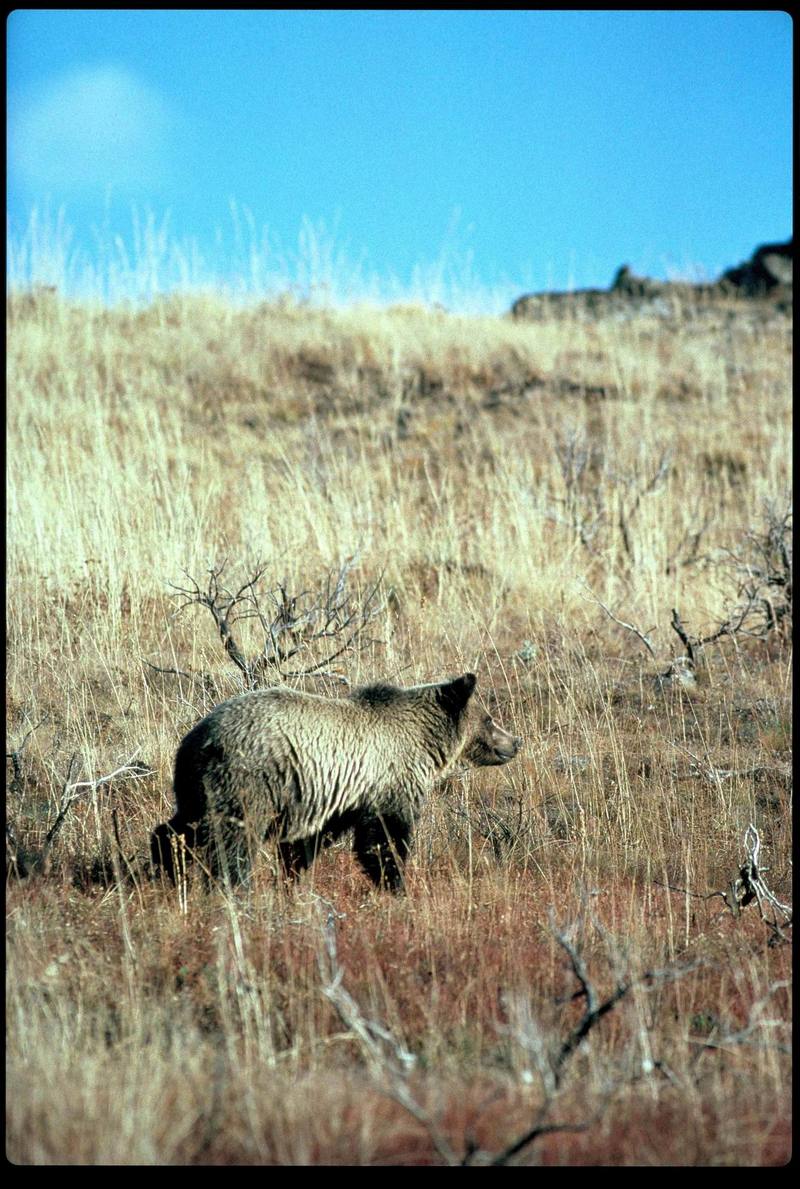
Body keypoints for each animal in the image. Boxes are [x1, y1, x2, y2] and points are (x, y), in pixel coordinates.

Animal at [152, 670, 520, 894]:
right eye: (489, 719)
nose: (515, 742)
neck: (426, 743)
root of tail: (197, 738)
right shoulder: (389, 779)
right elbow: (384, 838)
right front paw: (396, 885)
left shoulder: (340, 795)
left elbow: (309, 841)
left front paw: (292, 878)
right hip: (248, 780)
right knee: (232, 839)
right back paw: (232, 886)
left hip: (197, 785)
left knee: (182, 826)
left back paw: (165, 870)